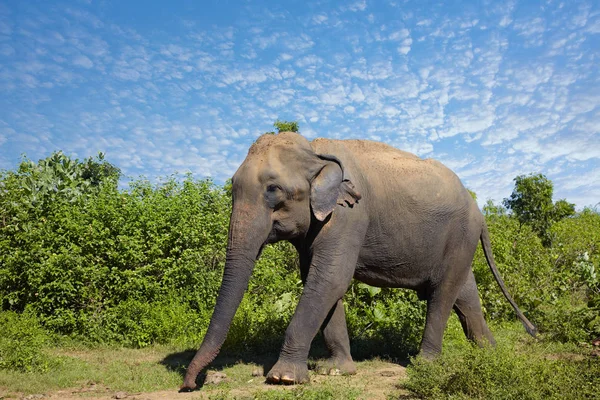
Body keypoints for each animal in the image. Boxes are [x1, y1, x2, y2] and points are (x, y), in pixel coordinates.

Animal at [180, 132, 536, 390]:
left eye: (273, 190)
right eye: (232, 188)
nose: (190, 385)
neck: (315, 151)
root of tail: (479, 210)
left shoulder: (350, 215)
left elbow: (330, 278)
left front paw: (283, 378)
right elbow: (321, 280)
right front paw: (336, 370)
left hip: (461, 235)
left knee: (442, 294)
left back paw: (424, 364)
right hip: (459, 242)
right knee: (465, 293)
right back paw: (491, 353)